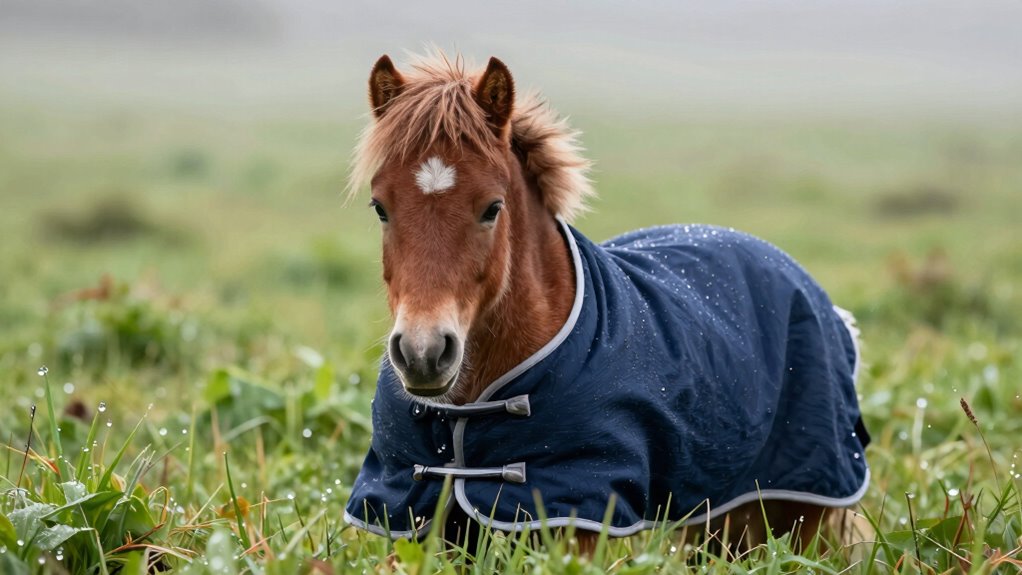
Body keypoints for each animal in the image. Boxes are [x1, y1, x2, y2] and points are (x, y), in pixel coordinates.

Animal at [343, 52, 871, 554]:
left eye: (492, 208)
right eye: (381, 207)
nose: (423, 353)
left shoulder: (579, 516)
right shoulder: (429, 520)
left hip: (802, 510)